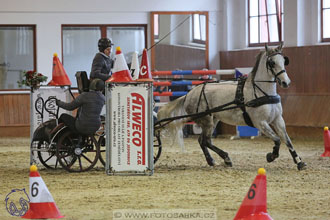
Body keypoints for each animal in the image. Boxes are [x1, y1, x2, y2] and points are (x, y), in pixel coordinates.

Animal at [157, 43, 306, 170]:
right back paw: (225, 158)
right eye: (272, 62)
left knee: (203, 141)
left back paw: (213, 161)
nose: (286, 82)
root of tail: (189, 93)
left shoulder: (278, 120)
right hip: (206, 120)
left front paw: (299, 162)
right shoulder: (260, 123)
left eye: (284, 61)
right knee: (205, 141)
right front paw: (271, 156)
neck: (261, 91)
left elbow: (287, 140)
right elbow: (277, 140)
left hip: (213, 119)